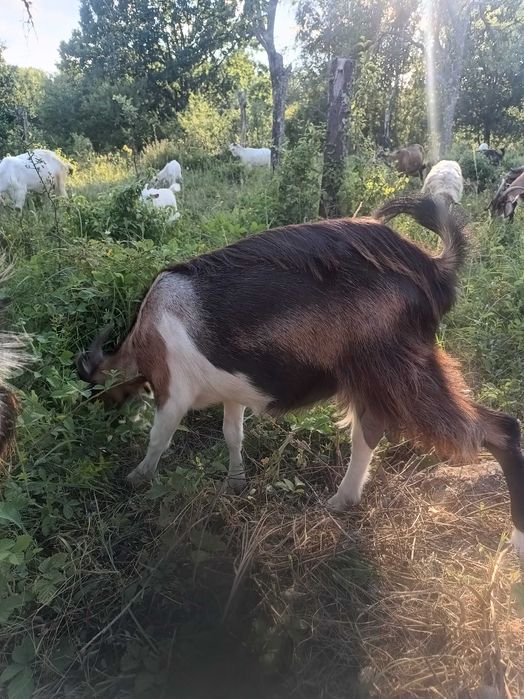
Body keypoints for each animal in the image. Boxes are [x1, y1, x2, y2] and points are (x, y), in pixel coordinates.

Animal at [77, 196, 524, 559]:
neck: (147, 332)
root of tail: (435, 268)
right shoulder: (233, 392)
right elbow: (232, 434)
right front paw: (236, 481)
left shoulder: (173, 389)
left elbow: (160, 437)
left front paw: (137, 477)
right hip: (372, 378)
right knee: (369, 432)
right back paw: (340, 501)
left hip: (401, 371)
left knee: (500, 428)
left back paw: (516, 543)